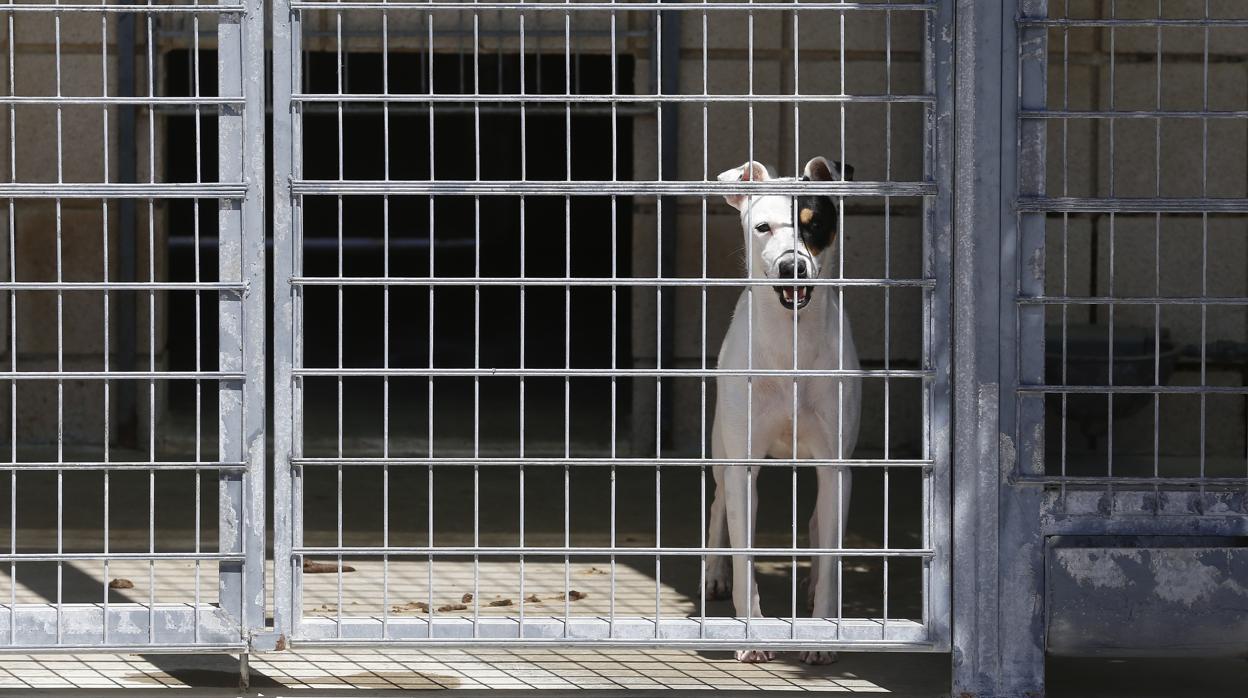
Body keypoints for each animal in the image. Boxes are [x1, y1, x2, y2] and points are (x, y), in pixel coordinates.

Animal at [708, 158, 863, 664]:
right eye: (763, 227)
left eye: (815, 225)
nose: (792, 266)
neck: (791, 345)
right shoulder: (743, 465)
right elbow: (745, 551)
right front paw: (752, 635)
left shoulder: (835, 463)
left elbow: (832, 553)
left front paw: (820, 635)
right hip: (720, 448)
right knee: (717, 504)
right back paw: (714, 574)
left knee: (818, 522)